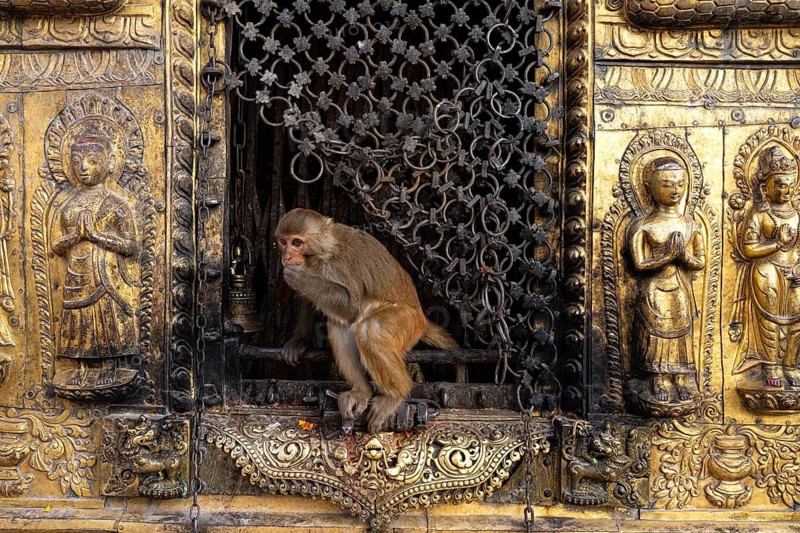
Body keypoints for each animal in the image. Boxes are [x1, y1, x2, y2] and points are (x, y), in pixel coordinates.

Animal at [275, 208, 457, 433]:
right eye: (283, 241)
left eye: (297, 242)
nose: (286, 256)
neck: (324, 252)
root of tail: (421, 317)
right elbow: (310, 300)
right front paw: (299, 341)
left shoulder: (341, 266)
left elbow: (351, 306)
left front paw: (298, 277)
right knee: (341, 325)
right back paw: (362, 391)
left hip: (409, 323)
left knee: (370, 328)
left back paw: (395, 394)